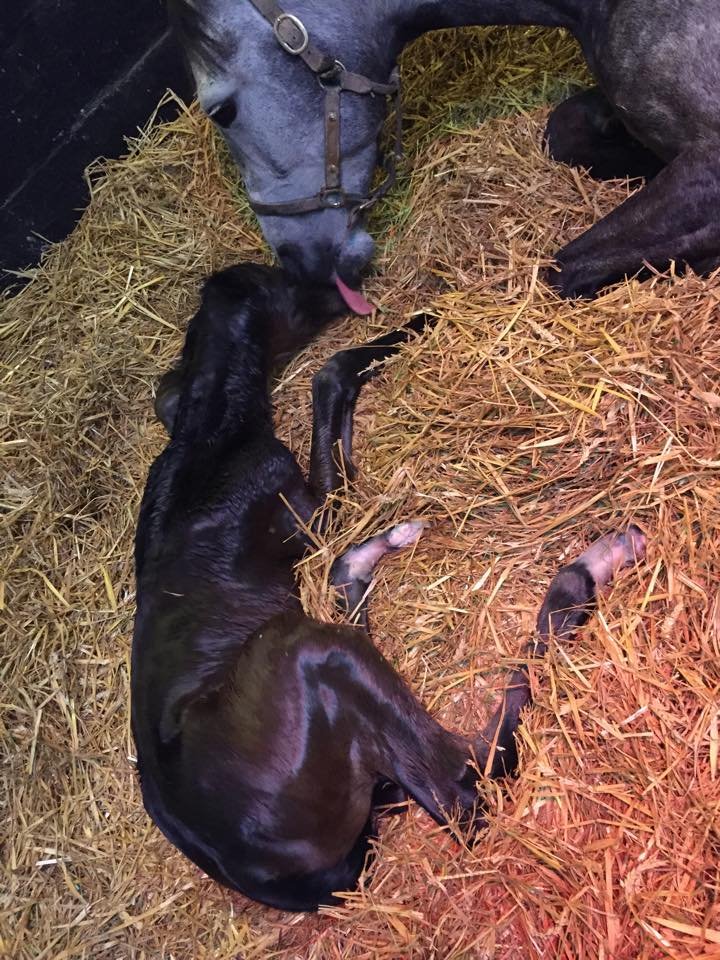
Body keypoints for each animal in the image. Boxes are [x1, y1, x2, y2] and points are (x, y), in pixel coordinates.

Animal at [131, 261, 647, 910]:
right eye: (287, 285)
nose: (343, 287)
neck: (207, 429)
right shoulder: (308, 510)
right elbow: (329, 380)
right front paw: (427, 317)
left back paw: (386, 548)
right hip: (311, 655)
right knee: (467, 784)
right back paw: (595, 564)